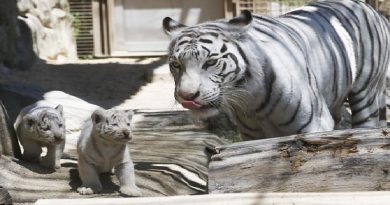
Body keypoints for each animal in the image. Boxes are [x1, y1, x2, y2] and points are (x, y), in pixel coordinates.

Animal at [161, 0, 386, 140]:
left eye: (210, 62)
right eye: (176, 65)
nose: (187, 96)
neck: (251, 102)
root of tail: (371, 9)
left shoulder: (315, 125)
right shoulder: (251, 136)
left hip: (365, 95)